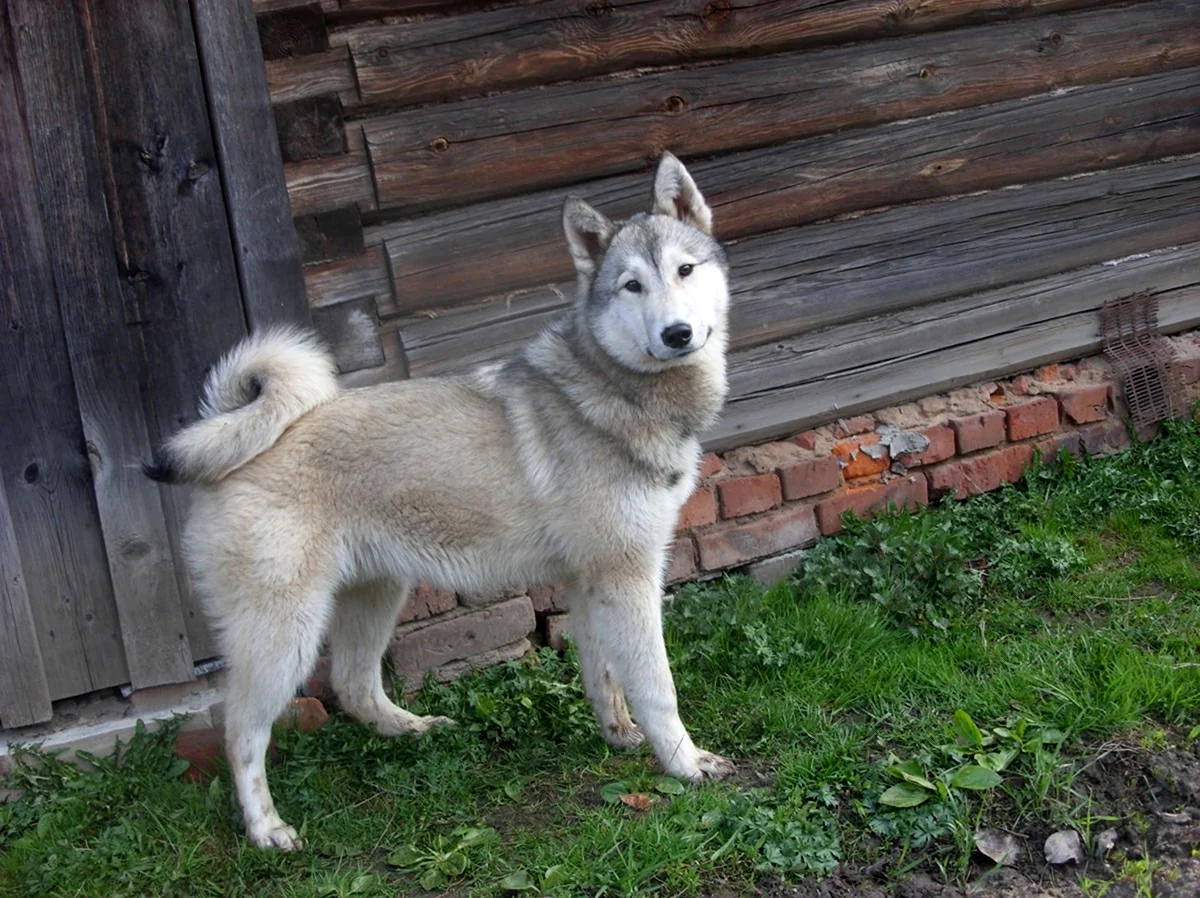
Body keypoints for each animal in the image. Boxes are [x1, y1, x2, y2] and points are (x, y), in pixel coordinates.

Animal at [147, 152, 729, 849]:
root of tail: (234, 439)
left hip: (374, 595)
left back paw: (411, 730)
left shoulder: (589, 583)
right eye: (631, 286)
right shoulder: (627, 577)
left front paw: (621, 739)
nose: (677, 334)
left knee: (353, 685)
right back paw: (266, 830)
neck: (617, 391)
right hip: (285, 633)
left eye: (685, 270)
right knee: (242, 731)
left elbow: (605, 679)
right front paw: (684, 763)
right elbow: (658, 687)